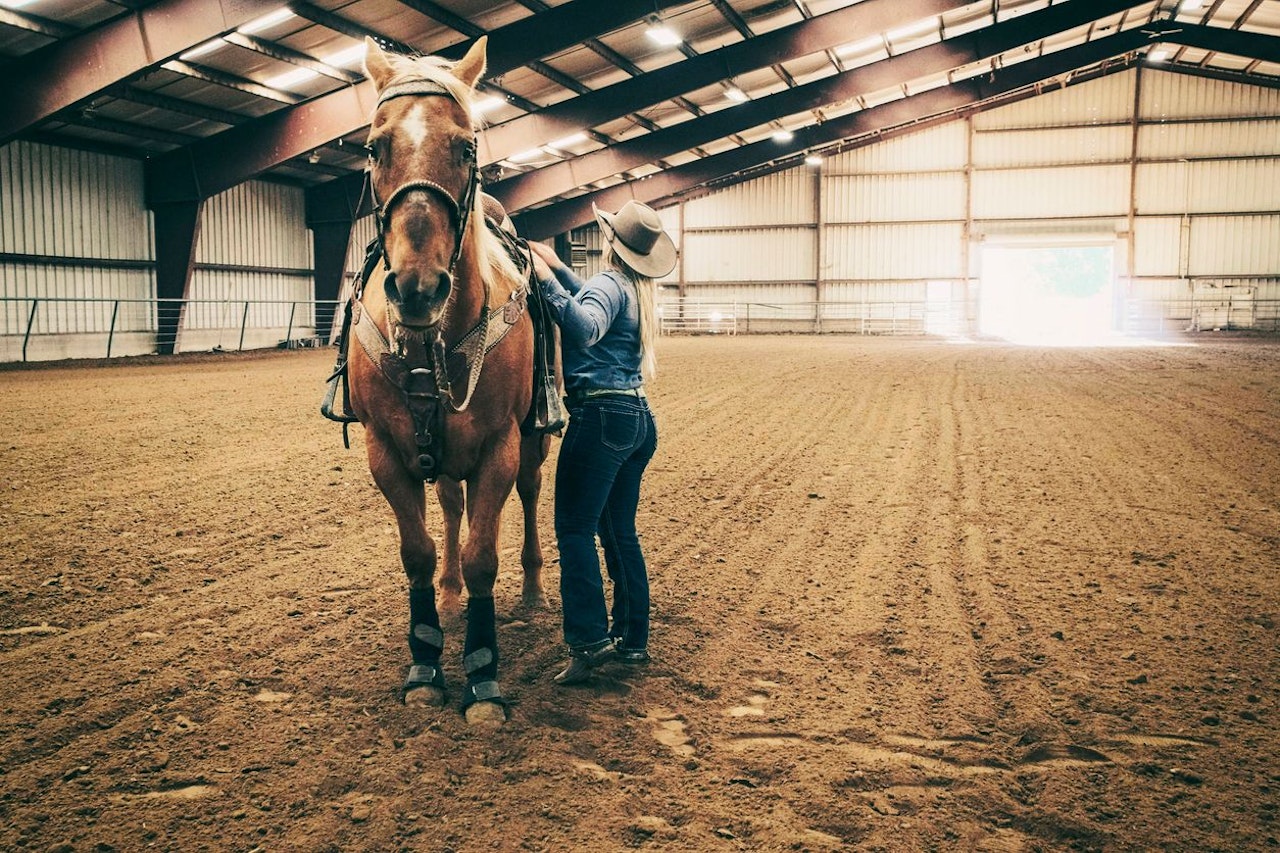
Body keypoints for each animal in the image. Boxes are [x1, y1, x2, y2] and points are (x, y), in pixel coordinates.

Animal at [350, 34, 550, 722]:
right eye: (374, 147)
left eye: (466, 146)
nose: (418, 287)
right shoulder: (388, 450)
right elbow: (419, 554)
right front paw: (425, 663)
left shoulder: (500, 447)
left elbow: (484, 555)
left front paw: (483, 677)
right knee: (451, 506)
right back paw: (451, 594)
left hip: (533, 444)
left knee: (531, 496)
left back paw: (535, 589)